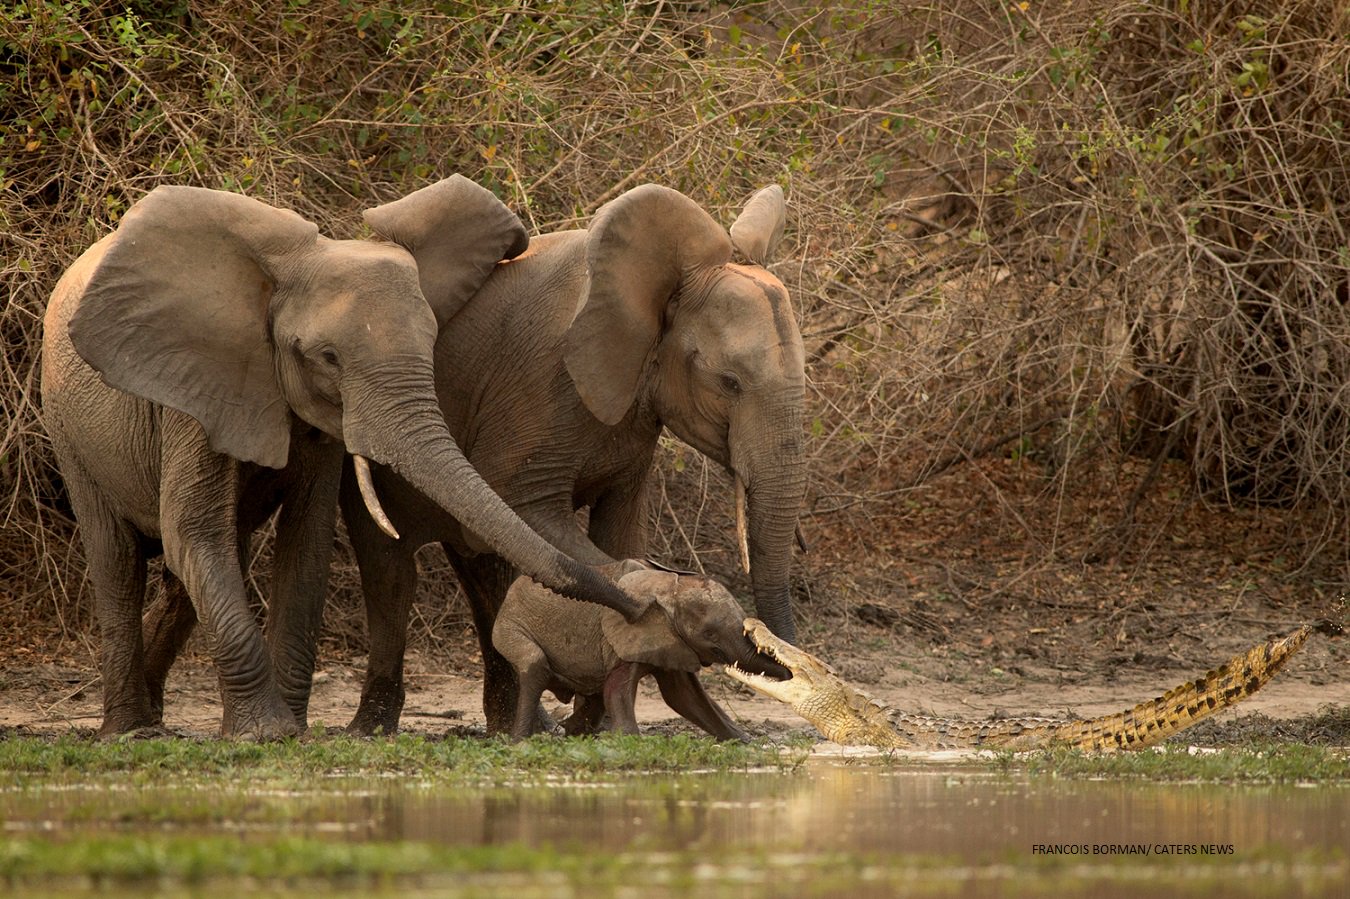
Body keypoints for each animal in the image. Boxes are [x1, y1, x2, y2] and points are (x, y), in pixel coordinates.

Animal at [42, 175, 642, 734]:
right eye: (326, 357)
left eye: (432, 344)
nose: (638, 597)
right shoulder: (195, 386)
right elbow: (192, 528)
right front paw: (270, 734)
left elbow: (305, 543)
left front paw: (292, 727)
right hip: (68, 426)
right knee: (119, 558)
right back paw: (130, 730)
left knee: (198, 565)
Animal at [494, 561, 788, 739]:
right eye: (710, 635)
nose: (790, 673)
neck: (671, 586)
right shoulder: (627, 636)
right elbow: (617, 689)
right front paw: (631, 743)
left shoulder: (672, 641)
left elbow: (686, 696)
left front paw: (744, 741)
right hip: (510, 627)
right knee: (535, 667)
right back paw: (521, 741)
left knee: (593, 696)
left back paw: (570, 733)